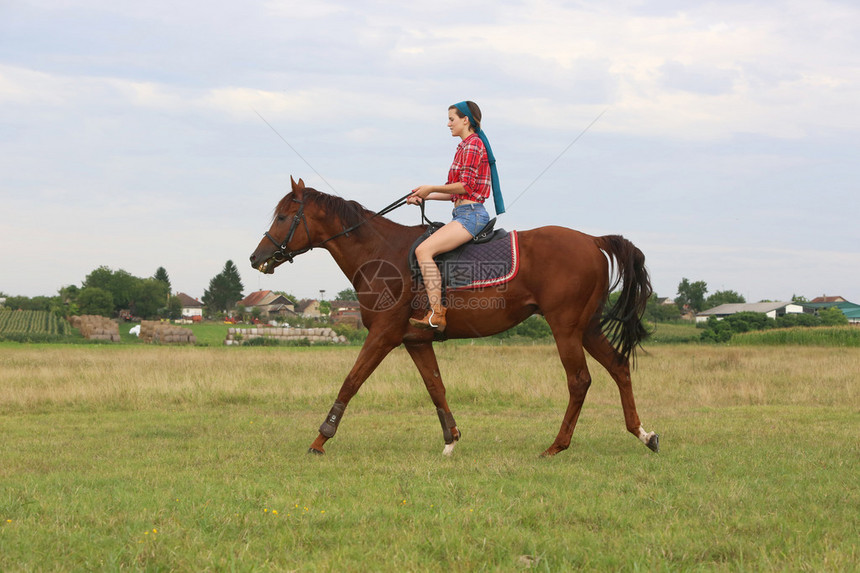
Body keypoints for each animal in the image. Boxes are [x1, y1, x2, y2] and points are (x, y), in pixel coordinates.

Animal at [249, 178, 660, 456]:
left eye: (284, 216)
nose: (256, 258)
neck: (380, 252)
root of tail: (592, 240)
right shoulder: (415, 340)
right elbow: (436, 388)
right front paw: (451, 440)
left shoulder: (383, 335)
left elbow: (350, 382)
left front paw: (320, 439)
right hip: (587, 327)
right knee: (618, 366)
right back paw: (644, 434)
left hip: (566, 328)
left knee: (579, 381)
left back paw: (556, 446)